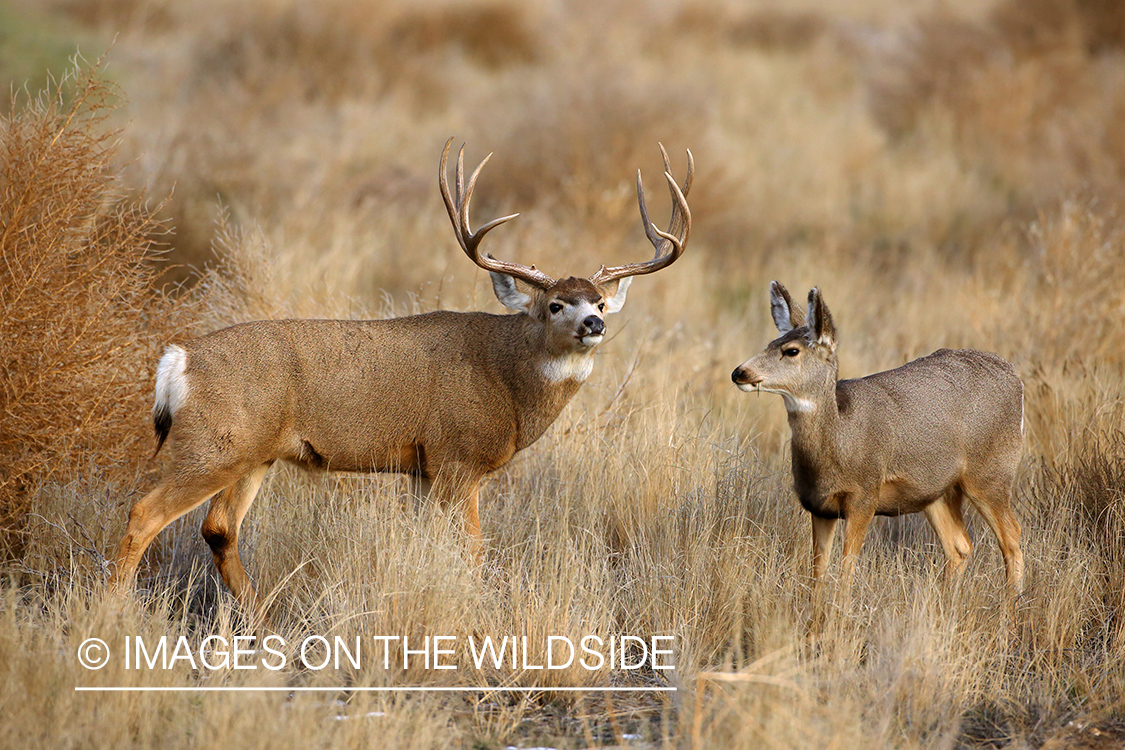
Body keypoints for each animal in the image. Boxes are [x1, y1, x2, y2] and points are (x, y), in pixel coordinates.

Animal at [108, 139, 693, 614]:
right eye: (554, 305)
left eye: (599, 301)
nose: (594, 323)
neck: (505, 376)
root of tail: (178, 359)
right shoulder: (458, 456)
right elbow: (473, 550)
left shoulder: (421, 470)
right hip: (214, 443)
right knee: (144, 513)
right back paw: (112, 612)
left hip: (254, 453)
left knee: (218, 530)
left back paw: (263, 619)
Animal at [731, 282, 1024, 598]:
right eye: (769, 344)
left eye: (791, 350)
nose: (739, 372)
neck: (840, 441)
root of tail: (1015, 376)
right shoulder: (818, 506)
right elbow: (817, 576)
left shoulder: (864, 495)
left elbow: (846, 573)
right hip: (935, 491)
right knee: (960, 546)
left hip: (992, 473)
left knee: (1012, 537)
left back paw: (1011, 605)